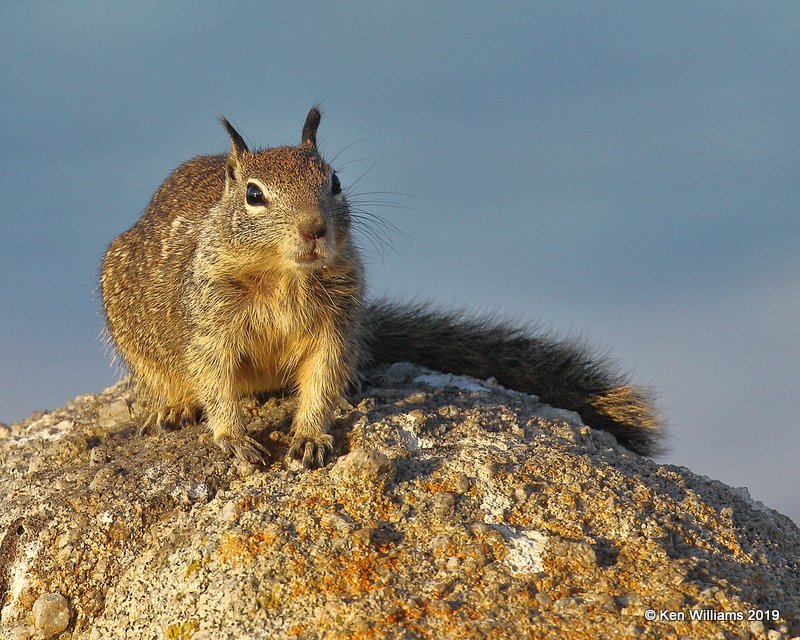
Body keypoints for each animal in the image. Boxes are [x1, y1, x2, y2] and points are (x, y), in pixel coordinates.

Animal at [100, 107, 664, 468]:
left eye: (334, 181)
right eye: (254, 195)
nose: (314, 229)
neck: (285, 277)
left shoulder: (336, 327)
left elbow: (322, 377)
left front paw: (310, 435)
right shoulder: (210, 325)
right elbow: (216, 384)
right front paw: (234, 439)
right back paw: (171, 407)